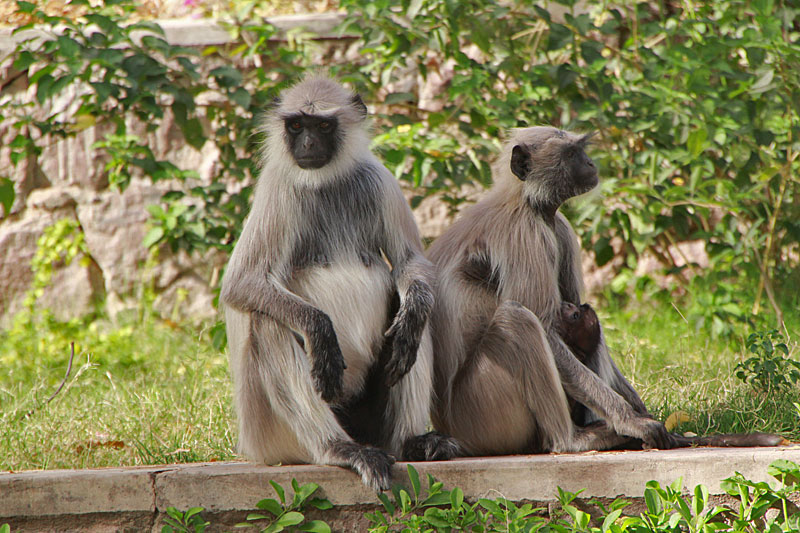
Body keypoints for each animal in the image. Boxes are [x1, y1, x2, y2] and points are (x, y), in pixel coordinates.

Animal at [220, 75, 456, 490]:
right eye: (297, 125)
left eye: (323, 126)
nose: (308, 145)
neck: (323, 181)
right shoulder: (277, 187)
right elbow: (241, 283)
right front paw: (320, 332)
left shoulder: (379, 179)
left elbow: (410, 265)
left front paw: (412, 314)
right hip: (272, 439)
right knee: (266, 321)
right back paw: (339, 449)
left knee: (413, 315)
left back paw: (411, 443)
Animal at [424, 125, 676, 454]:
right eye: (570, 154)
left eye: (580, 150)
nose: (591, 164)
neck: (527, 202)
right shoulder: (524, 233)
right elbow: (545, 327)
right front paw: (631, 421)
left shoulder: (559, 228)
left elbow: (577, 309)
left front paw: (639, 411)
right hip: (482, 411)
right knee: (517, 319)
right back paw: (571, 440)